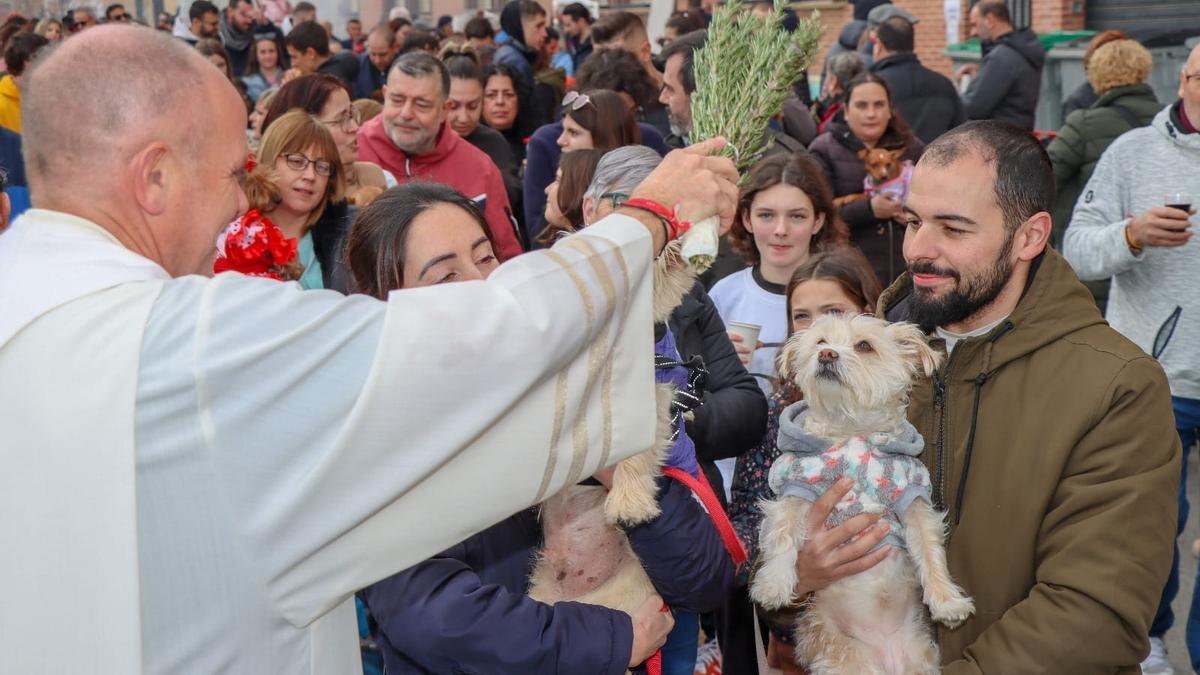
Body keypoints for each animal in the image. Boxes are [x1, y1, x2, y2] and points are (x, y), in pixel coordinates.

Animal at [748, 314, 974, 672]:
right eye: (821, 342)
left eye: (864, 346)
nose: (826, 355)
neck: (851, 429)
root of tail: (887, 659)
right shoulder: (796, 486)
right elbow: (783, 535)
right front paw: (774, 585)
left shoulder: (912, 497)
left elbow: (930, 550)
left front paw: (947, 602)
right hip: (846, 658)